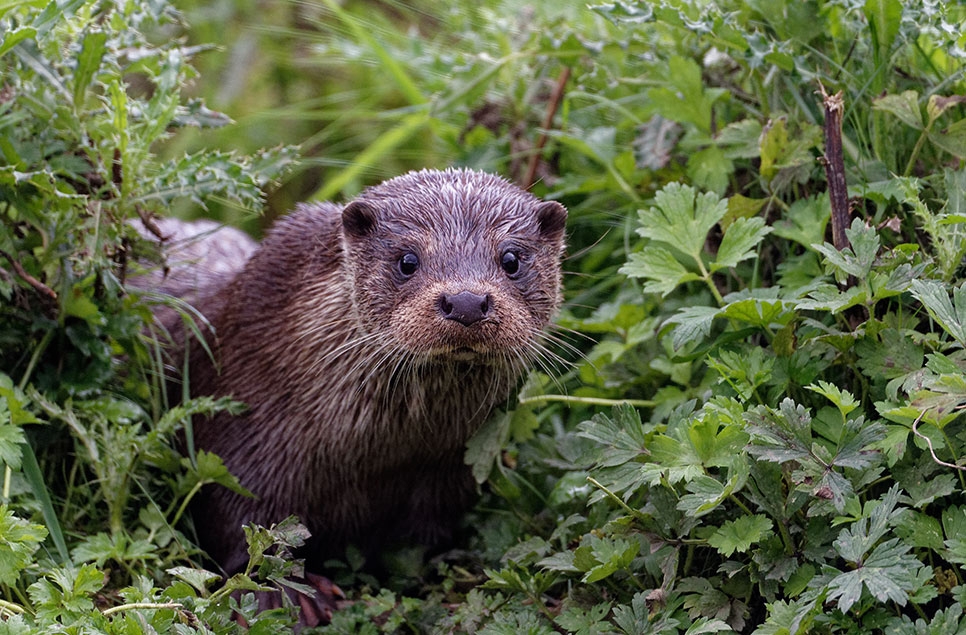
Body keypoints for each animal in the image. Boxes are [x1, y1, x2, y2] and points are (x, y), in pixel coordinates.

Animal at [145, 170, 568, 608]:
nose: (466, 301)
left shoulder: (446, 474)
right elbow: (242, 522)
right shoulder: (242, 440)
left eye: (512, 259)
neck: (379, 454)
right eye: (407, 260)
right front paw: (282, 594)